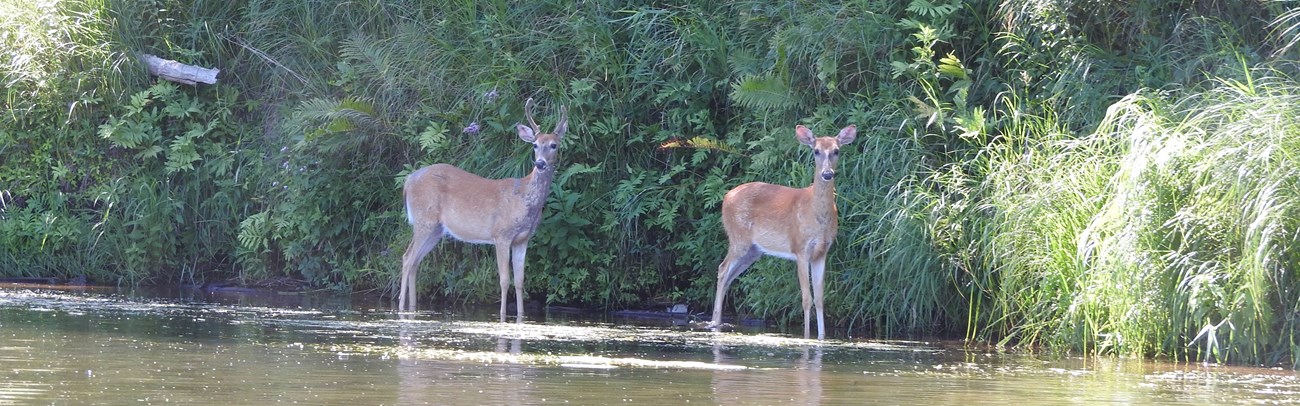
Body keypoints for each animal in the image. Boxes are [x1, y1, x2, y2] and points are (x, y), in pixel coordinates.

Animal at [398, 97, 567, 323]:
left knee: (416, 261)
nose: (540, 163)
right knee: (407, 258)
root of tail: (408, 181)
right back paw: (400, 308)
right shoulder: (501, 235)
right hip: (424, 220)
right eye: (535, 145)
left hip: (436, 229)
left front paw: (521, 316)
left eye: (553, 145)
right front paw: (503, 315)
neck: (524, 199)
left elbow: (520, 281)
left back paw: (413, 307)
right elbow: (505, 280)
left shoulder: (523, 239)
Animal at [708, 124, 856, 340]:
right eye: (816, 151)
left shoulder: (822, 252)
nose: (827, 174)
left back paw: (715, 322)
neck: (816, 214)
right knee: (722, 269)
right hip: (738, 238)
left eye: (836, 151)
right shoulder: (801, 248)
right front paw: (807, 336)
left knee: (728, 276)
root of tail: (726, 197)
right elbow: (806, 298)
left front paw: (821, 337)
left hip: (754, 250)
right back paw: (715, 324)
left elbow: (820, 298)